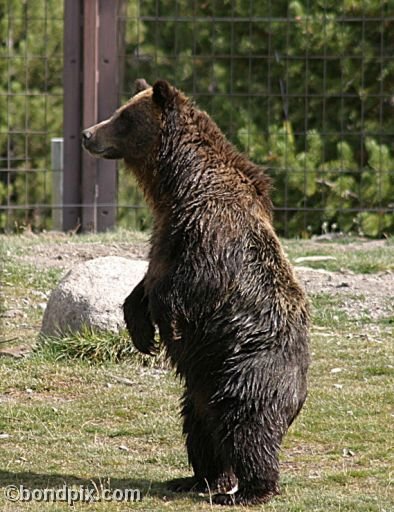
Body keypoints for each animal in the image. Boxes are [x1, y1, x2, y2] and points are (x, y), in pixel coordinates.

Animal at [82, 78, 310, 506]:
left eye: (122, 117)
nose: (88, 134)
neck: (177, 186)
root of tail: (299, 394)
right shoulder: (165, 232)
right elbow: (145, 282)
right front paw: (141, 332)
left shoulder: (209, 229)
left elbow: (189, 283)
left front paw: (164, 326)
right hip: (200, 389)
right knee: (200, 431)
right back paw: (197, 478)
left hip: (247, 373)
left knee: (248, 429)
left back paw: (247, 490)